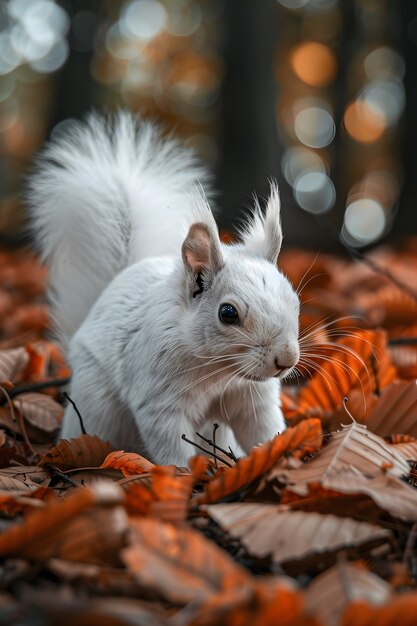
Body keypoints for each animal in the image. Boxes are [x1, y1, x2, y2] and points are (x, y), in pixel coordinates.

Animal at [29, 111, 300, 464]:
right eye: (228, 313)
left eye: (295, 300)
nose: (287, 359)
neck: (218, 372)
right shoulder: (157, 398)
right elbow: (172, 445)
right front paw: (184, 471)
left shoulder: (250, 395)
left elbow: (262, 428)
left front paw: (280, 452)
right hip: (97, 405)